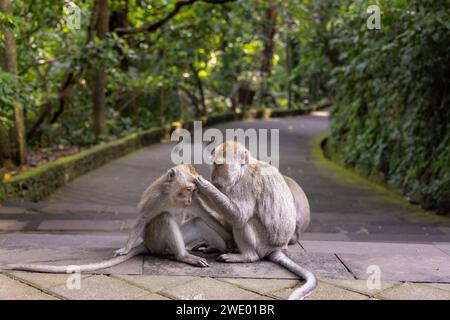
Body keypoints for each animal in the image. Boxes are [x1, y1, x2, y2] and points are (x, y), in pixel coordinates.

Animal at [0, 165, 232, 272]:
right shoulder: (156, 198)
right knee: (164, 219)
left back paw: (216, 249)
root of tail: (148, 246)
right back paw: (183, 256)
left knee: (198, 223)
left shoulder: (194, 202)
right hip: (158, 243)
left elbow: (205, 215)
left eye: (193, 191)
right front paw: (125, 248)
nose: (189, 198)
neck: (172, 197)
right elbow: (143, 218)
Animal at [196, 141, 316, 300]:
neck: (241, 171)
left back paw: (246, 256)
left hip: (263, 244)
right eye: (214, 164)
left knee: (244, 222)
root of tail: (277, 248)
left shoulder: (245, 184)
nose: (213, 176)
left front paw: (205, 187)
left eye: (220, 165)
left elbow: (238, 215)